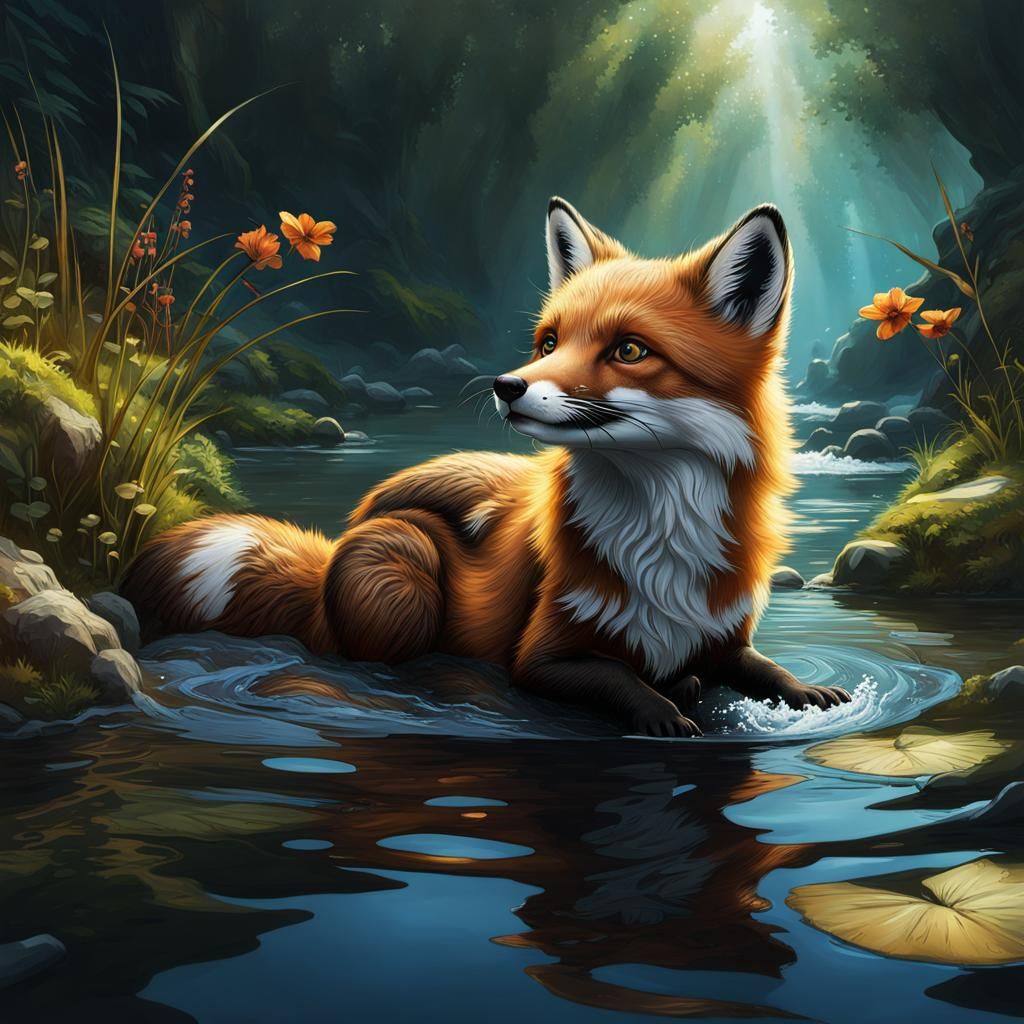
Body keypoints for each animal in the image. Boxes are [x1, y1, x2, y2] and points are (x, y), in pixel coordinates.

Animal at [122, 197, 851, 736]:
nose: (506, 385)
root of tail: (340, 539)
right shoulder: (540, 657)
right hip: (406, 574)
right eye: (550, 341)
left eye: (630, 350)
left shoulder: (723, 633)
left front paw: (805, 689)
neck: (660, 542)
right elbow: (618, 677)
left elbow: (763, 669)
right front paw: (665, 708)